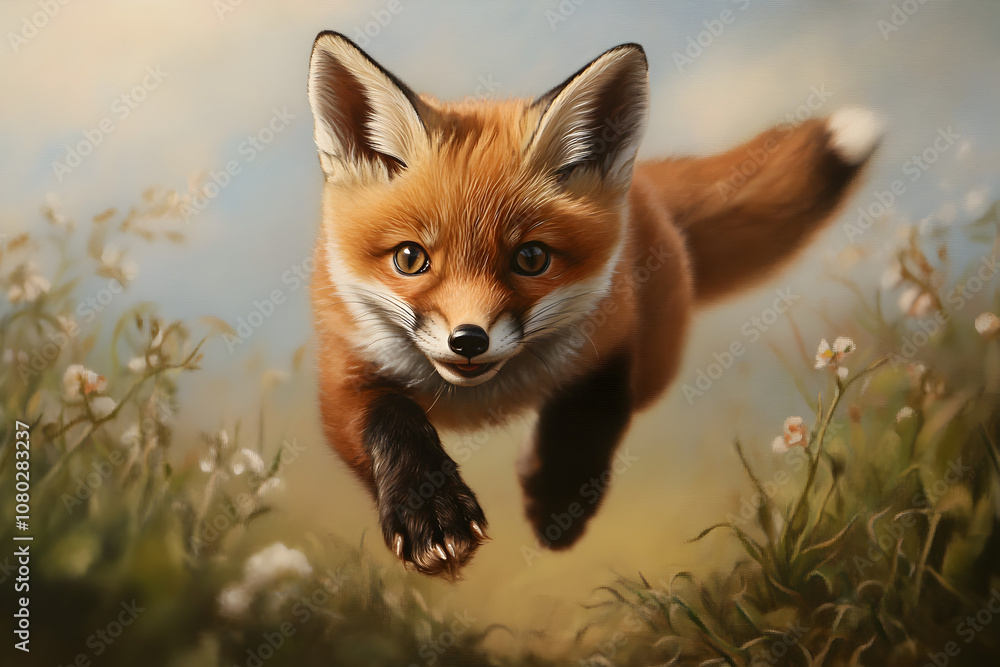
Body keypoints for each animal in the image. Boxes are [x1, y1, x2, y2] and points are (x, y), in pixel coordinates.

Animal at [306, 31, 880, 578]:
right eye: (410, 258)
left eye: (531, 258)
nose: (468, 340)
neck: (485, 399)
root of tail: (644, 187)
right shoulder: (344, 371)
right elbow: (389, 419)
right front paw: (430, 510)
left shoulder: (614, 326)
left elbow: (593, 405)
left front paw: (558, 501)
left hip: (659, 357)